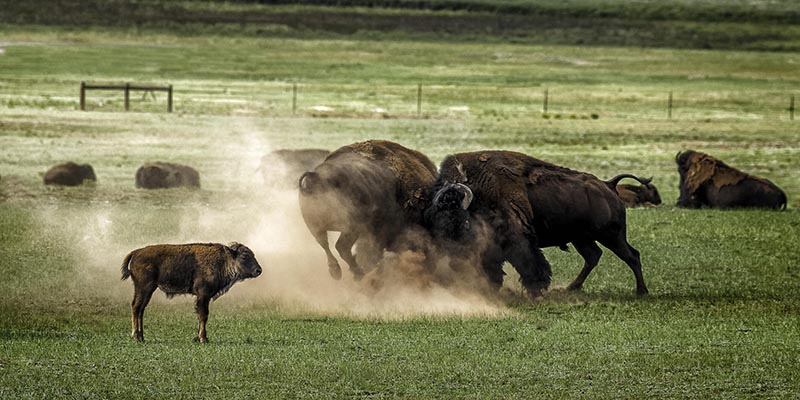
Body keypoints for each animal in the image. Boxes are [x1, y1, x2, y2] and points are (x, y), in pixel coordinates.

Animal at [120, 242, 262, 342]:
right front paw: (203, 339)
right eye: (244, 256)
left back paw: (142, 337)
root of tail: (136, 252)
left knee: (141, 309)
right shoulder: (203, 295)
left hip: (149, 290)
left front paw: (200, 337)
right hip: (143, 288)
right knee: (136, 307)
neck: (223, 260)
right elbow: (203, 315)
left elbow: (201, 316)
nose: (258, 270)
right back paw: (136, 336)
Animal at [300, 141, 438, 282]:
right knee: (341, 246)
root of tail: (318, 177)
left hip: (319, 227)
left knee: (325, 244)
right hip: (351, 228)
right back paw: (358, 273)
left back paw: (338, 271)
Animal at [424, 150, 648, 296]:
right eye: (436, 225)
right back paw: (571, 288)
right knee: (593, 256)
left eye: (463, 224)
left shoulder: (518, 239)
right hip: (582, 238)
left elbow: (530, 262)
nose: (454, 261)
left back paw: (641, 292)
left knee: (632, 256)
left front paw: (537, 290)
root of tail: (608, 185)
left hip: (611, 236)